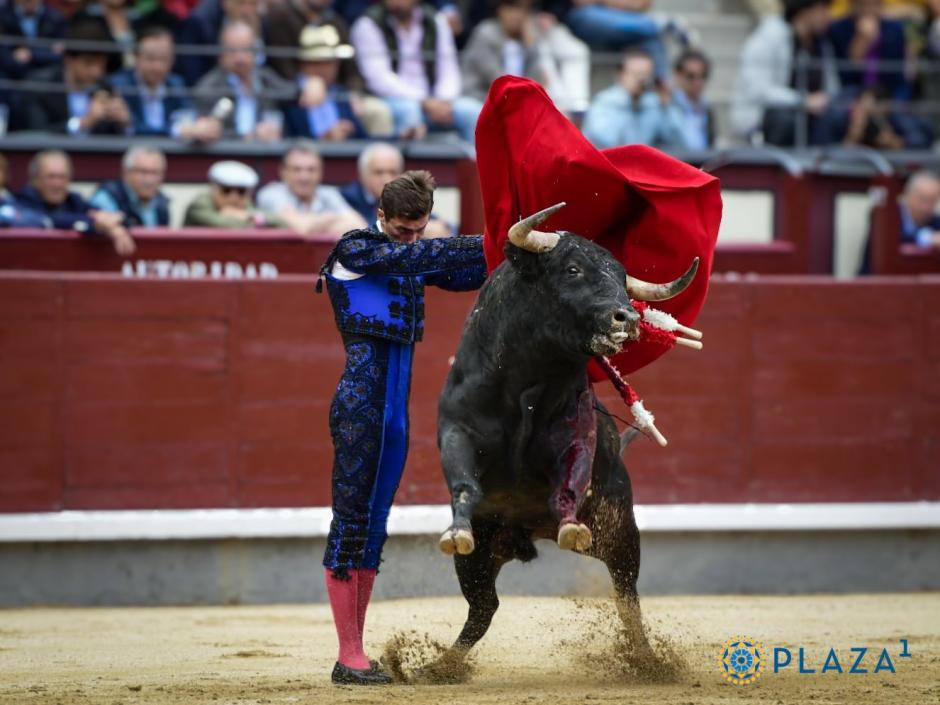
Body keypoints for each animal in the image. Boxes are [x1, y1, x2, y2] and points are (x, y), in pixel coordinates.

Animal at [434, 205, 696, 664]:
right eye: (573, 269)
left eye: (620, 277)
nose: (628, 318)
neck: (528, 381)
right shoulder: (457, 431)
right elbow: (464, 484)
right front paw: (456, 532)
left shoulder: (577, 438)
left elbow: (571, 479)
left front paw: (571, 525)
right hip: (479, 560)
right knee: (483, 608)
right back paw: (441, 667)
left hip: (621, 533)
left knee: (626, 598)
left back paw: (648, 661)